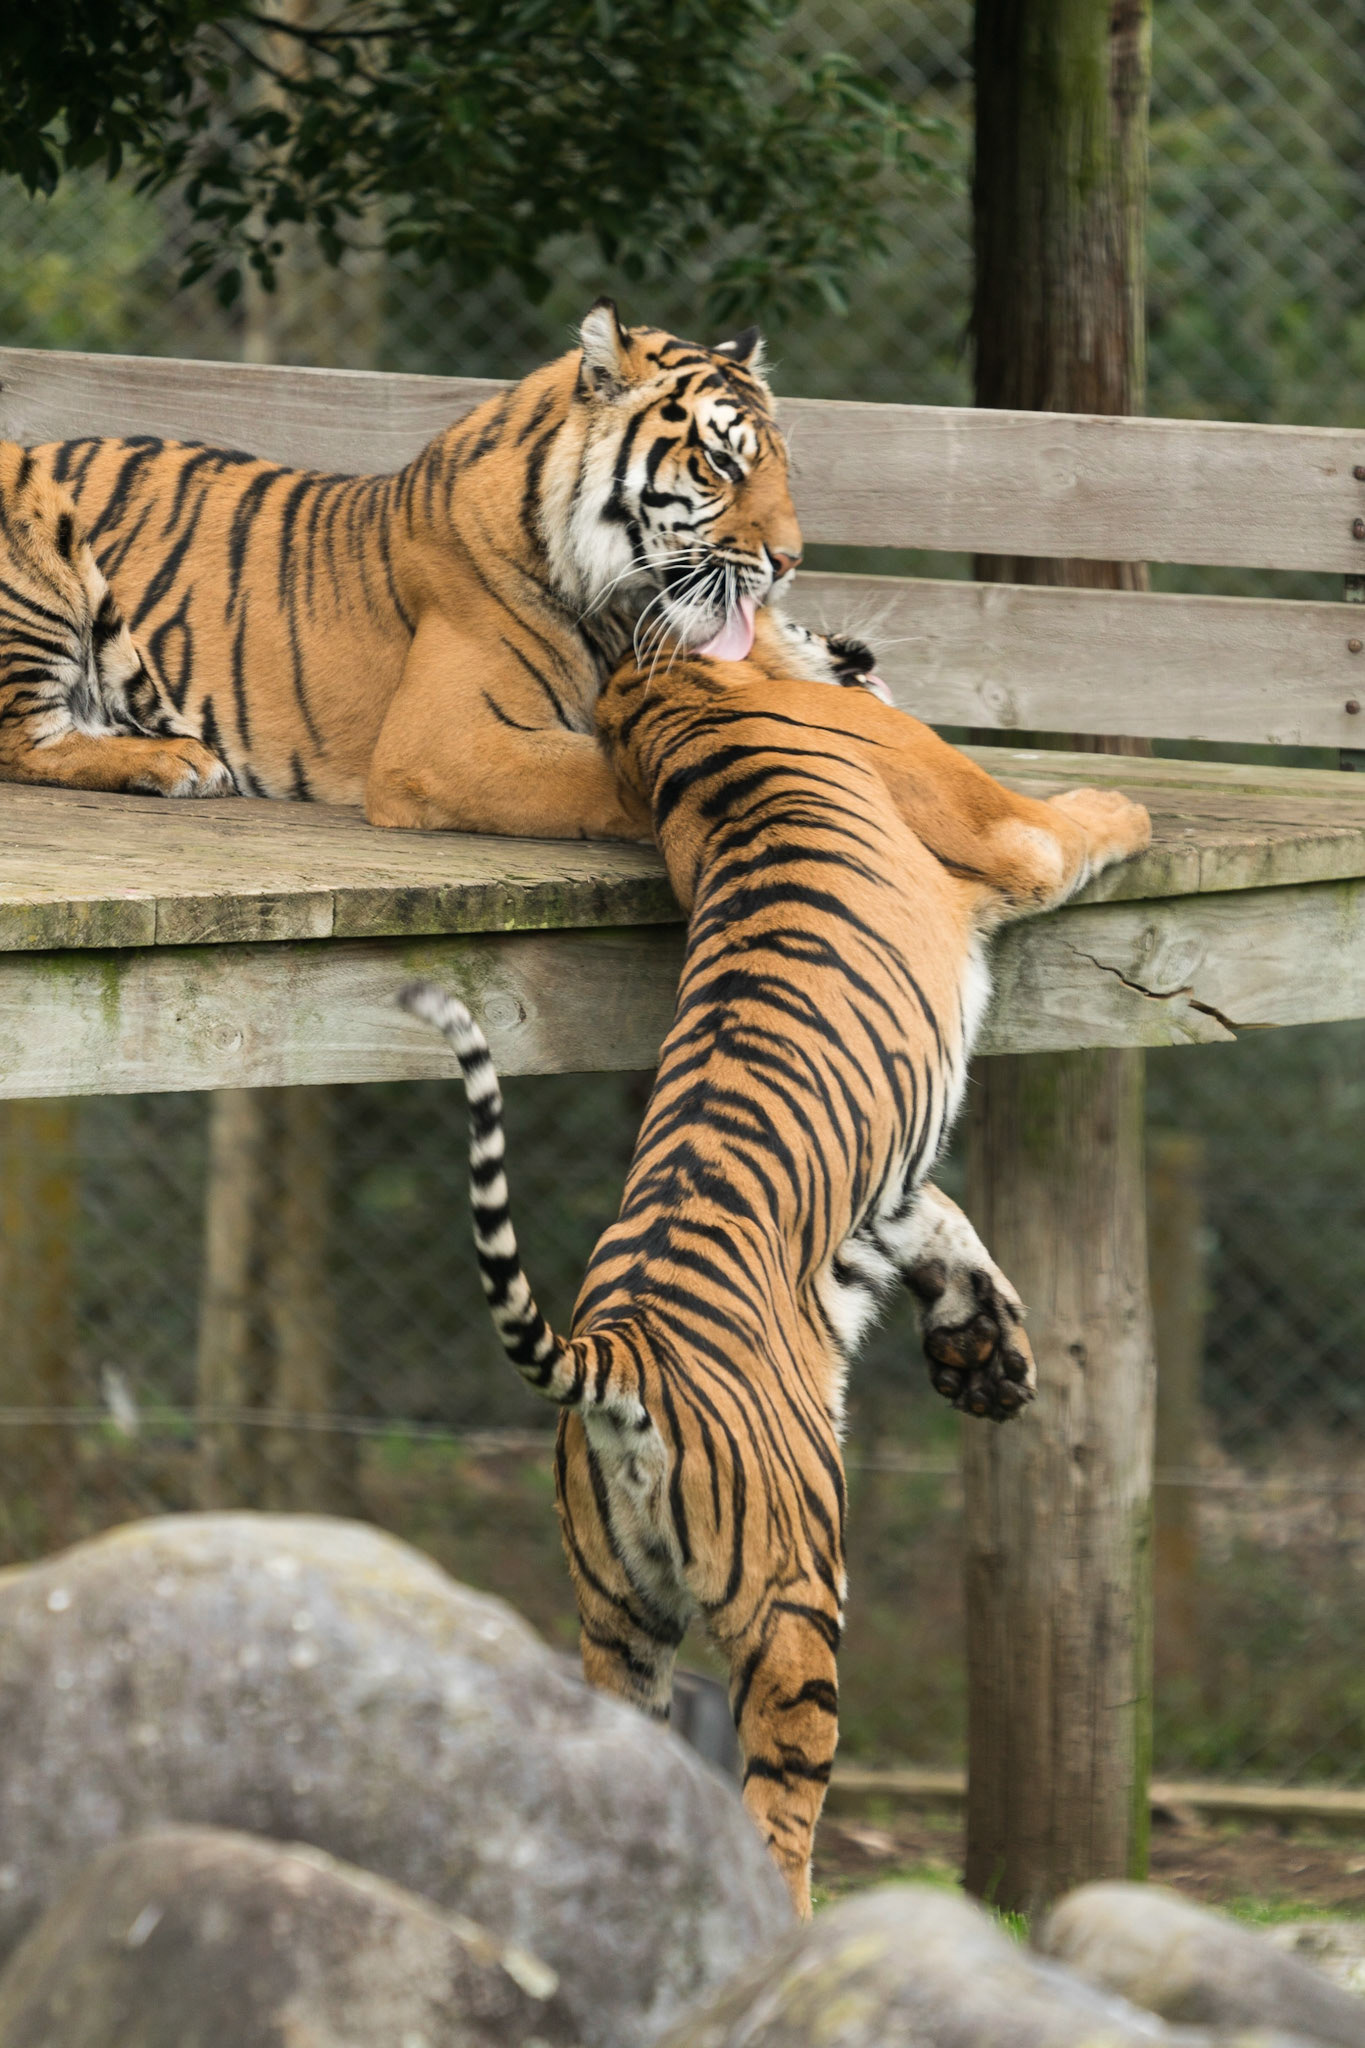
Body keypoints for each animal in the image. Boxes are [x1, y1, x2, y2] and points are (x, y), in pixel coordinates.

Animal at [0, 301, 810, 838]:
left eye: (778, 464)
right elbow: (616, 776)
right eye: (720, 462)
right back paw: (180, 763)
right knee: (22, 739)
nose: (790, 561)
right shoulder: (446, 743)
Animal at [399, 610, 1152, 1914]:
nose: (848, 634)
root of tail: (617, 1351)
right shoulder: (1009, 838)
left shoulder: (881, 1187)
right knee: (779, 1814)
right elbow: (1078, 820)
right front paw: (1137, 798)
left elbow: (940, 1214)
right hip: (799, 1592)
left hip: (617, 1615)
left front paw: (987, 1355)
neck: (660, 697)